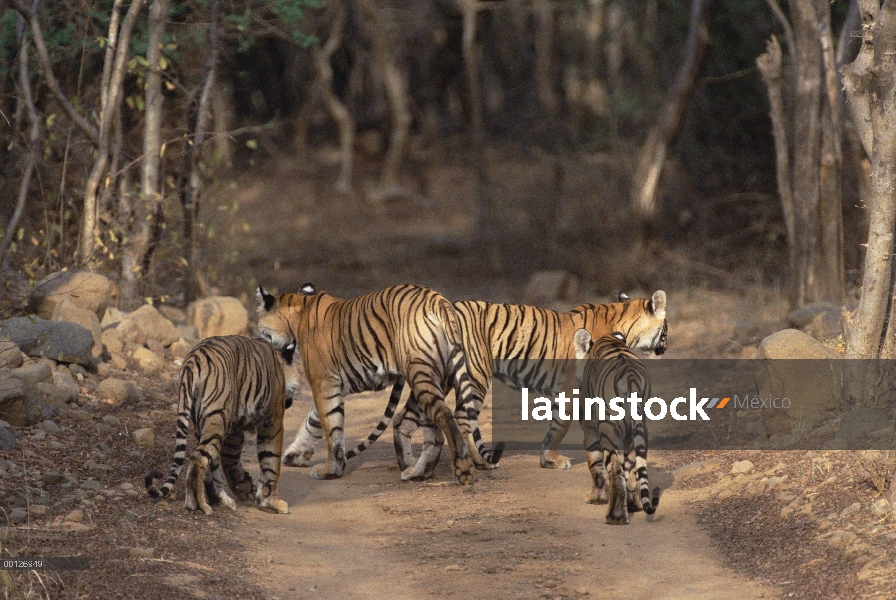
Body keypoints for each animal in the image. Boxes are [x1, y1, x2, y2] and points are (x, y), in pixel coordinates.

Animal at [145, 338, 300, 516]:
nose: (290, 402)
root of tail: (193, 360)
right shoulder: (273, 423)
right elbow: (271, 463)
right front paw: (272, 503)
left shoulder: (234, 431)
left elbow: (230, 460)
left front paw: (245, 488)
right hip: (218, 418)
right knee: (199, 458)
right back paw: (199, 505)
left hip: (205, 423)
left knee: (210, 464)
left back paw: (218, 499)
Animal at [252, 284, 490, 486]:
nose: (260, 344)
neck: (300, 308)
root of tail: (439, 300)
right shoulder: (332, 386)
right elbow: (314, 421)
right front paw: (296, 455)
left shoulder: (323, 382)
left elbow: (331, 428)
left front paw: (330, 470)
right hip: (435, 377)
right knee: (432, 429)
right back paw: (417, 471)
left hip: (420, 372)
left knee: (444, 416)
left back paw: (462, 469)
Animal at [294, 288, 664, 480]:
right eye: (667, 328)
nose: (665, 347)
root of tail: (443, 304)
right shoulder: (576, 391)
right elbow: (563, 427)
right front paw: (557, 460)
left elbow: (555, 426)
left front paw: (548, 458)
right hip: (474, 376)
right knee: (460, 419)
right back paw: (476, 462)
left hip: (437, 377)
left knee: (406, 420)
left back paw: (412, 468)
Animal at [576, 328, 656, 524]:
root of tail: (631, 376)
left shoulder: (589, 426)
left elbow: (595, 464)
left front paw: (596, 498)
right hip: (638, 428)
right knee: (633, 468)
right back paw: (633, 504)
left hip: (607, 428)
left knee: (614, 469)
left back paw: (615, 516)